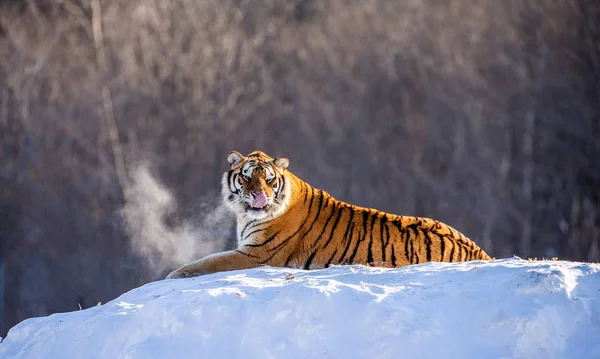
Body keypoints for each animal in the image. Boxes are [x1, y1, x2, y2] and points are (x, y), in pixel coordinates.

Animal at [165, 150, 492, 280]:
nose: (260, 196)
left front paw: (173, 274)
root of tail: (482, 253)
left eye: (269, 180)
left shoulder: (257, 255)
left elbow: (210, 261)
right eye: (247, 177)